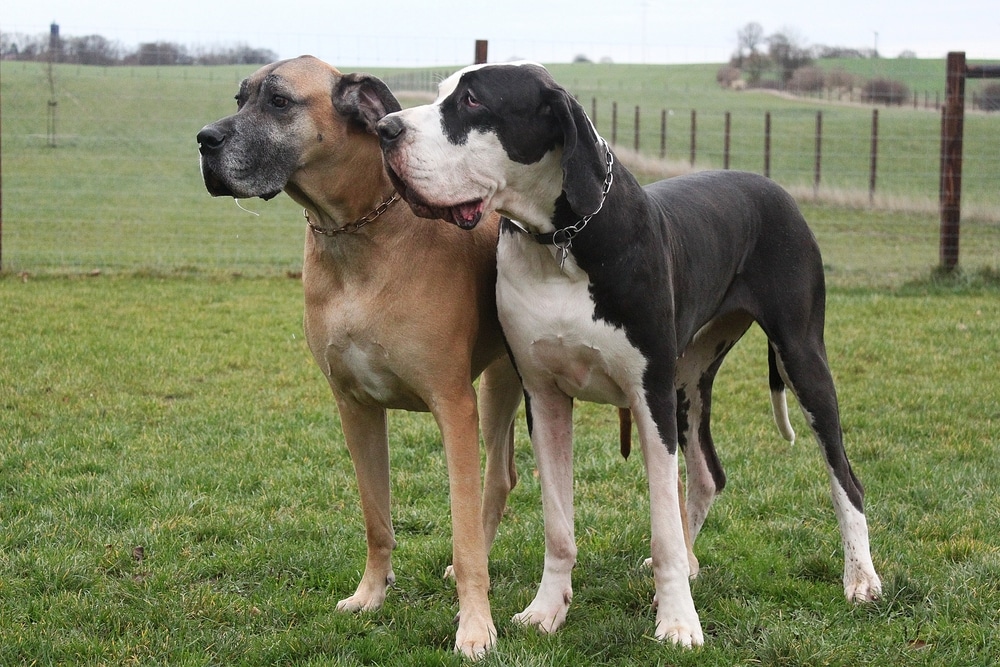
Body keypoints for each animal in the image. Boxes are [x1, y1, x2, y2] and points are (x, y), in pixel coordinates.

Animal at [197, 56, 524, 656]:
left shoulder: (453, 407)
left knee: (495, 480)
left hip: (500, 389)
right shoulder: (355, 408)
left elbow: (462, 530)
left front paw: (475, 625)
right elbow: (377, 518)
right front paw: (371, 594)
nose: (204, 140)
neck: (353, 232)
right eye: (239, 99)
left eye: (279, 101)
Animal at [376, 61, 884, 648]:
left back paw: (861, 578)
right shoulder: (544, 398)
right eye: (439, 93)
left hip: (799, 356)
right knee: (708, 474)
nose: (385, 129)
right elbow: (558, 525)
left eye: (473, 101)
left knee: (846, 478)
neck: (562, 241)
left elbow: (661, 524)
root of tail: (770, 185)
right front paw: (547, 609)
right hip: (689, 380)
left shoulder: (649, 396)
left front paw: (679, 622)